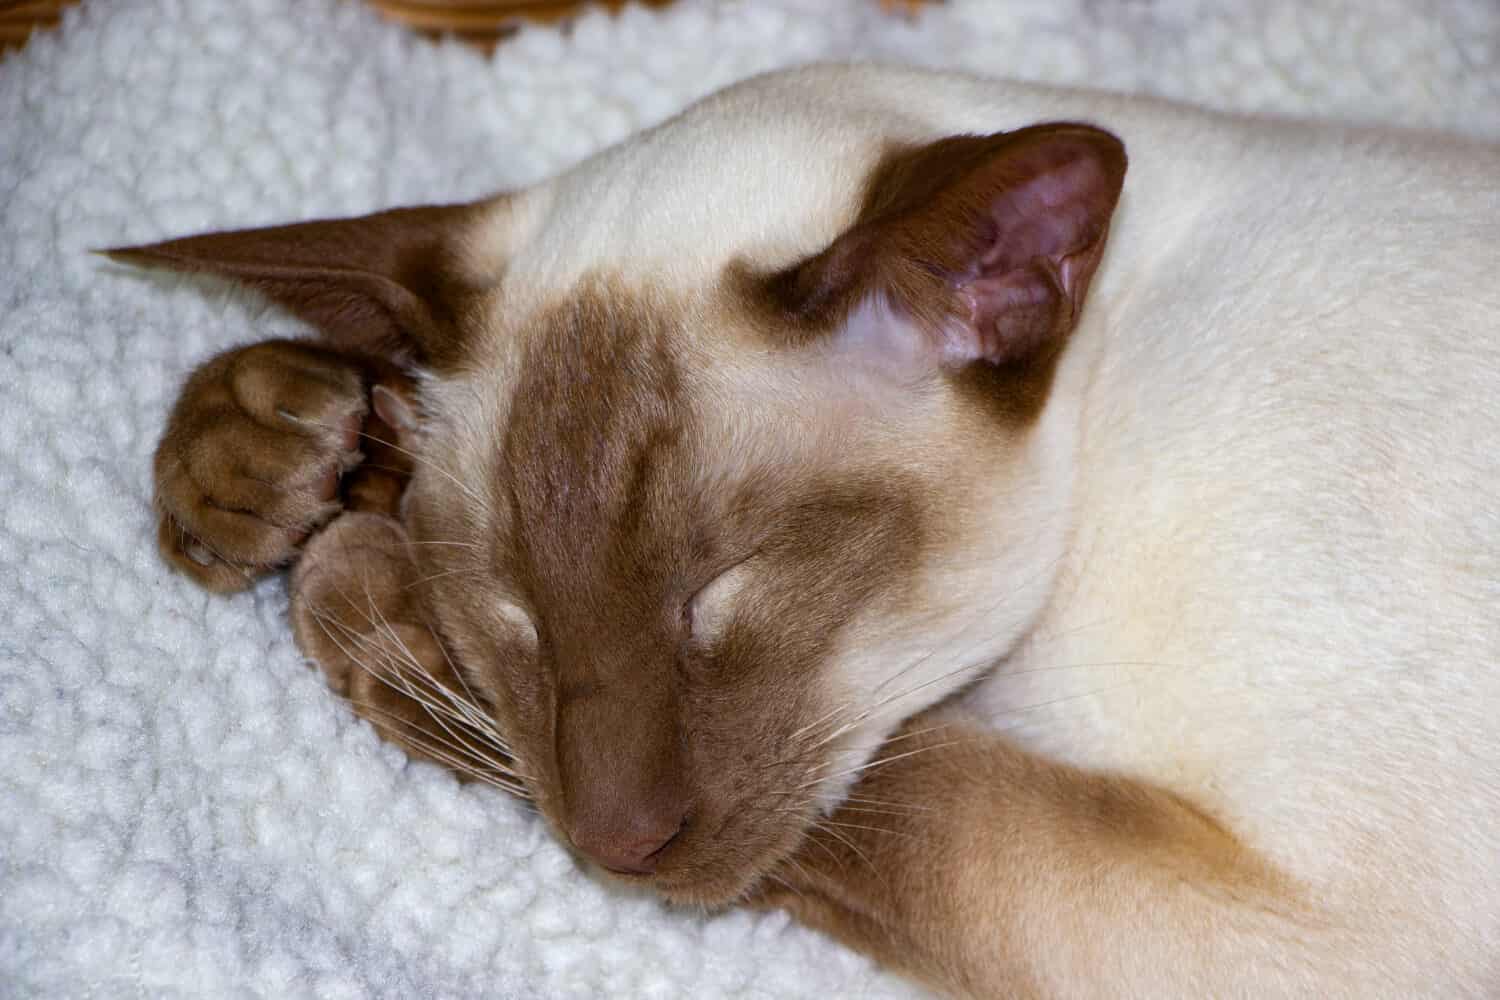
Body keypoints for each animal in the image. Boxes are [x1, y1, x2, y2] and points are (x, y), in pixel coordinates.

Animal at [108, 66, 1500, 995]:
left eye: (720, 589)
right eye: (516, 611)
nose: (615, 849)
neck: (1110, 403)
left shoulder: (1314, 929)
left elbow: (906, 796)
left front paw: (349, 570)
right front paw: (258, 450)